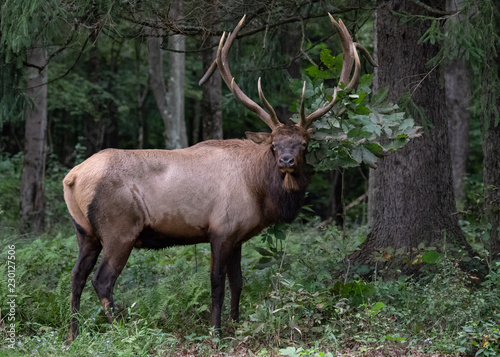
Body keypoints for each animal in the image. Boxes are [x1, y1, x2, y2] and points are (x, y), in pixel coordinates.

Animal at [63, 13, 376, 340]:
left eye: (303, 144)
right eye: (274, 145)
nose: (287, 162)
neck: (259, 192)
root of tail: (72, 178)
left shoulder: (239, 235)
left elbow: (238, 281)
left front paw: (236, 325)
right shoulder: (221, 230)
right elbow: (216, 284)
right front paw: (216, 333)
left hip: (85, 231)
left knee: (75, 275)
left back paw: (73, 334)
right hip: (119, 230)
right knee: (102, 280)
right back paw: (123, 331)